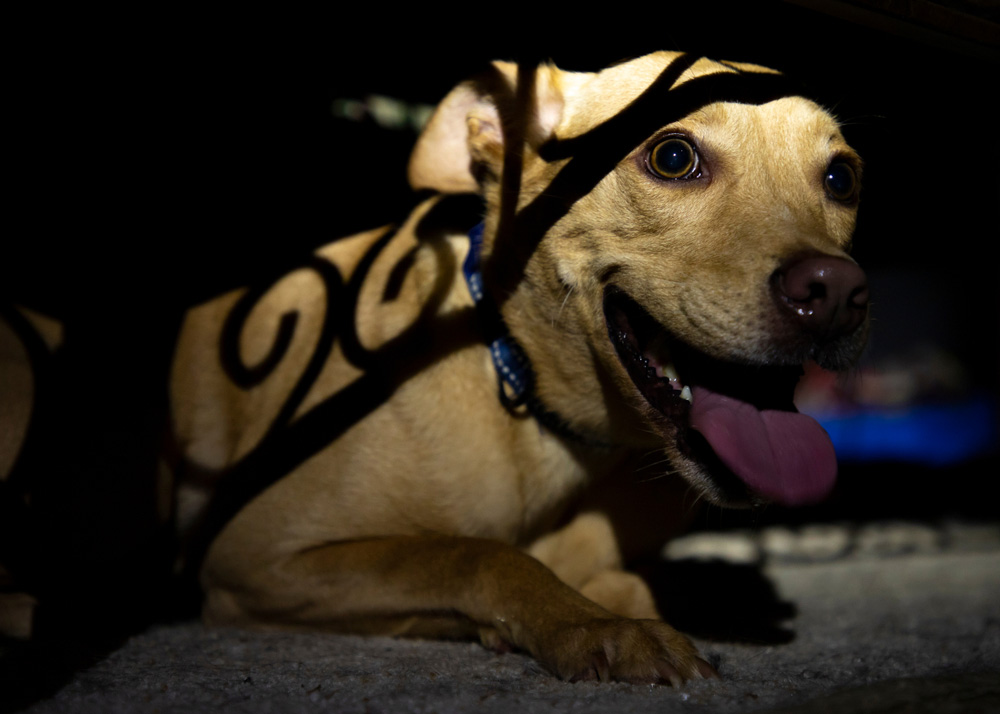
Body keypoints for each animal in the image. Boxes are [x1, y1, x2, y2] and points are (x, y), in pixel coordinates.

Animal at [166, 51, 868, 684]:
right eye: (673, 158)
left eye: (841, 178)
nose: (836, 292)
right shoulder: (257, 559)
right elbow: (475, 556)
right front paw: (597, 625)